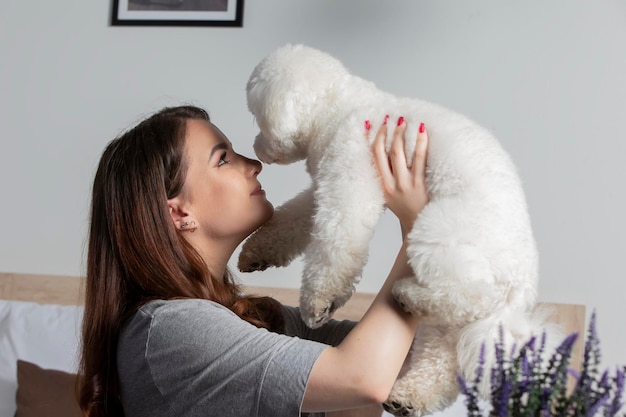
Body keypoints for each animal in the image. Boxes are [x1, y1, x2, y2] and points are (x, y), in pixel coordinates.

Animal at [238, 44, 556, 414]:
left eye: (256, 116)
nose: (256, 148)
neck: (339, 108)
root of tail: (518, 291)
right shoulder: (325, 187)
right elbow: (294, 219)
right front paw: (257, 252)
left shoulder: (349, 181)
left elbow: (336, 243)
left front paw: (319, 302)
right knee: (442, 353)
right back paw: (410, 395)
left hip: (439, 231)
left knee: (469, 298)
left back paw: (407, 295)